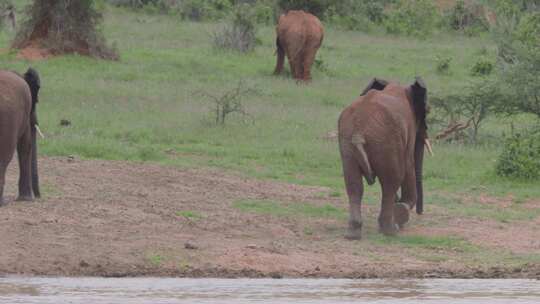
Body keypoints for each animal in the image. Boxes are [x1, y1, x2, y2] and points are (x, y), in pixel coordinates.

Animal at [338, 77, 430, 239]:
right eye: (428, 111)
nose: (420, 213)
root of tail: (358, 132)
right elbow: (408, 165)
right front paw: (402, 210)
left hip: (347, 142)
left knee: (353, 184)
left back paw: (353, 234)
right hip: (386, 140)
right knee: (391, 181)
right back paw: (390, 231)